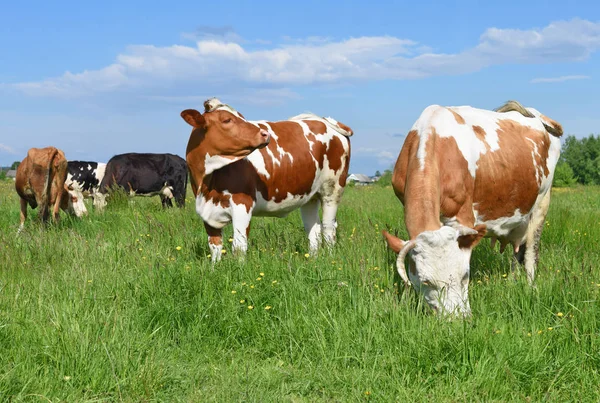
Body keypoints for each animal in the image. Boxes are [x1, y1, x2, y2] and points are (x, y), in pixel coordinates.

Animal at [180, 98, 354, 262]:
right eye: (226, 120)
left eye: (242, 116)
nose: (264, 134)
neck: (208, 184)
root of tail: (322, 119)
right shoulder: (206, 211)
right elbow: (215, 247)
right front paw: (215, 268)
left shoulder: (243, 203)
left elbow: (239, 246)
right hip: (310, 196)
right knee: (313, 229)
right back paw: (313, 259)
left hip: (332, 190)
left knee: (328, 227)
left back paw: (330, 259)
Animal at [384, 100, 564, 316]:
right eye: (426, 281)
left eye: (464, 276)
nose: (455, 318)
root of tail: (539, 116)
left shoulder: (462, 216)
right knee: (517, 252)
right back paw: (513, 283)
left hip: (541, 203)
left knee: (530, 253)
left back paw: (529, 287)